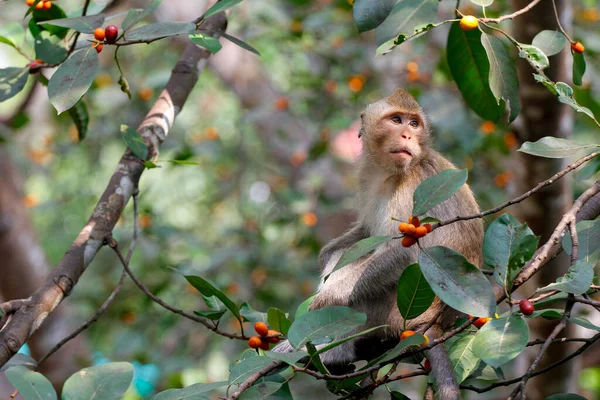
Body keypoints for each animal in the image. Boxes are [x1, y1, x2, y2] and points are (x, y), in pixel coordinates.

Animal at [274, 89, 486, 398]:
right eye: (397, 120)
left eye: (414, 124)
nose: (408, 135)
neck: (392, 173)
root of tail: (437, 322)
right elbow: (362, 234)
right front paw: (326, 258)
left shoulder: (415, 188)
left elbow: (405, 254)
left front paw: (327, 298)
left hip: (395, 312)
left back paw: (333, 353)